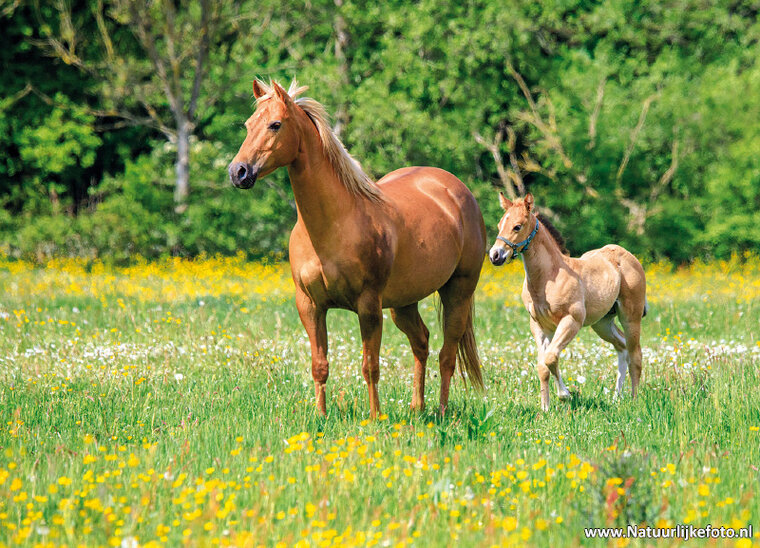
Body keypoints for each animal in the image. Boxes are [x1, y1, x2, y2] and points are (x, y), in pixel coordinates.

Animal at [228, 79, 486, 417]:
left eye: (275, 124)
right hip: (404, 303)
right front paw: (321, 416)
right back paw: (417, 408)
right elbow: (319, 365)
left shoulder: (369, 306)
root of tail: (455, 189)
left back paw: (441, 412)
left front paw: (375, 417)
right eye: (248, 125)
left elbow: (370, 366)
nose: (238, 172)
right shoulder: (309, 306)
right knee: (421, 342)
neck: (334, 224)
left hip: (458, 291)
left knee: (447, 355)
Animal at [488, 193, 647, 411]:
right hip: (602, 323)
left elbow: (550, 357)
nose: (495, 255)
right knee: (622, 347)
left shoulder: (571, 321)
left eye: (517, 226)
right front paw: (545, 408)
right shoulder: (539, 326)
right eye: (499, 224)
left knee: (635, 354)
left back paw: (634, 401)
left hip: (631, 317)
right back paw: (616, 397)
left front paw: (565, 395)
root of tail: (628, 257)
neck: (549, 277)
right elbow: (542, 365)